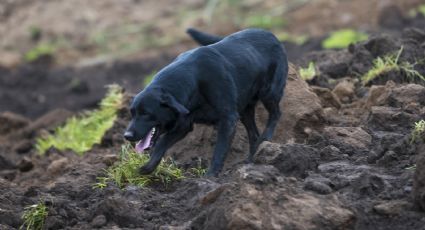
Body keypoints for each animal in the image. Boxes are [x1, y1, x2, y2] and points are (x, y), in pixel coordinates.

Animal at [123, 28, 288, 176]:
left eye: (146, 113)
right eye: (132, 113)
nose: (127, 136)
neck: (194, 79)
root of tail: (270, 34)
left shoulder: (228, 119)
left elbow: (219, 150)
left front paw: (209, 178)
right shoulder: (183, 125)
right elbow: (161, 144)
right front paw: (148, 167)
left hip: (269, 92)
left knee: (276, 113)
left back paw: (266, 138)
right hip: (245, 110)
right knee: (254, 135)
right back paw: (251, 161)